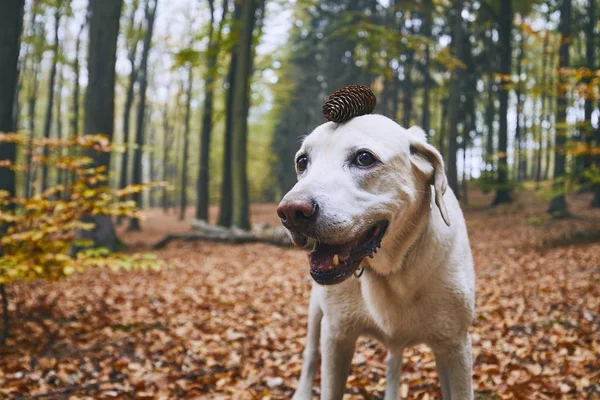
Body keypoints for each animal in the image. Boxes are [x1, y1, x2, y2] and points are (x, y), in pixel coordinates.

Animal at [278, 114, 478, 398]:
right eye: (302, 161)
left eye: (364, 158)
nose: (291, 212)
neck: (393, 270)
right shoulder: (337, 337)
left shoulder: (455, 347)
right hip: (316, 313)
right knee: (310, 354)